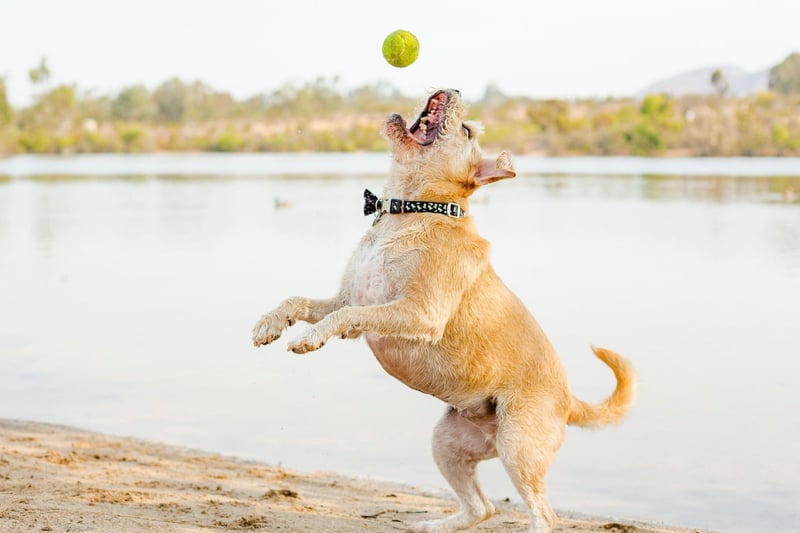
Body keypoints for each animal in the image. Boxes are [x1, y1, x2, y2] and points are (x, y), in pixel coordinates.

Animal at [252, 89, 636, 528]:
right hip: (449, 443)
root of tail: (570, 399)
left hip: (518, 447)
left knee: (544, 515)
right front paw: (269, 324)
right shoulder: (350, 296)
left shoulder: (418, 312)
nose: (455, 91)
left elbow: (343, 318)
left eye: (465, 130)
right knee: (481, 508)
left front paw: (310, 337)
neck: (410, 211)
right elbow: (299, 301)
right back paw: (432, 525)